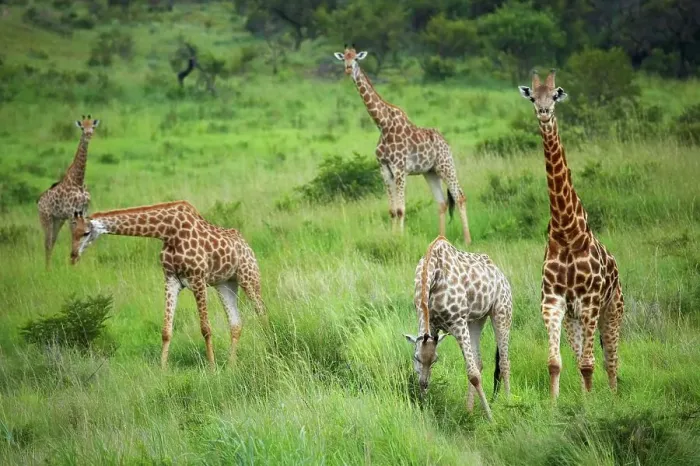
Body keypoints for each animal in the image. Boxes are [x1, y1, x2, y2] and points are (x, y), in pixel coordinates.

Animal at [36, 115, 99, 268]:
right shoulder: (72, 212)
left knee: (52, 241)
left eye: (92, 126)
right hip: (46, 218)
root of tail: (38, 202)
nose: (89, 134)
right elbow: (74, 235)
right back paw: (47, 268)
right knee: (47, 243)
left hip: (57, 220)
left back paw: (49, 267)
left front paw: (79, 263)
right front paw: (73, 263)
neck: (79, 181)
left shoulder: (84, 210)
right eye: (82, 127)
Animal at [69, 201, 266, 368]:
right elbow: (166, 329)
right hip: (225, 284)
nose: (72, 256)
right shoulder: (171, 279)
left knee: (262, 312)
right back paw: (231, 366)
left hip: (248, 277)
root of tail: (247, 246)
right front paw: (162, 369)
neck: (168, 231)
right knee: (236, 323)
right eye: (71, 232)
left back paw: (268, 344)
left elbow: (205, 328)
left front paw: (212, 367)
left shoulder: (198, 278)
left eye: (86, 233)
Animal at [333, 45, 472, 245]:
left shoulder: (399, 169)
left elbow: (400, 209)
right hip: (430, 172)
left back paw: (467, 240)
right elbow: (392, 211)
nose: (348, 69)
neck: (383, 124)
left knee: (459, 196)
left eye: (356, 58)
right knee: (442, 202)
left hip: (446, 166)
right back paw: (441, 239)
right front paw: (393, 237)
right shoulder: (384, 169)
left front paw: (400, 239)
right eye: (344, 58)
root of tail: (446, 142)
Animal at [404, 236, 512, 421]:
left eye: (436, 360)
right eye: (416, 357)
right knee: (479, 362)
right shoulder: (433, 326)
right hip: (476, 320)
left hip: (502, 312)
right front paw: (424, 409)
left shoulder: (457, 323)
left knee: (504, 362)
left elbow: (473, 374)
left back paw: (508, 404)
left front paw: (491, 419)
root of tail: (501, 275)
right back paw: (469, 411)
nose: (423, 384)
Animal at [518, 70, 624, 399]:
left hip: (613, 310)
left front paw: (593, 408)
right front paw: (557, 405)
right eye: (532, 97)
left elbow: (591, 364)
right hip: (575, 318)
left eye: (554, 95)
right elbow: (556, 363)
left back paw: (612, 398)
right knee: (581, 358)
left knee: (611, 360)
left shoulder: (589, 301)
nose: (544, 112)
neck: (566, 232)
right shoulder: (553, 302)